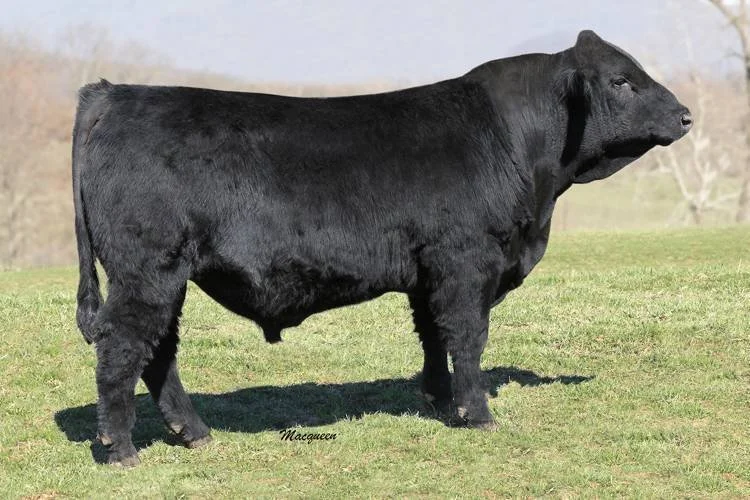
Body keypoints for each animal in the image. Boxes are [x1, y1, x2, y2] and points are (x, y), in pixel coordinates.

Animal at [72, 30, 691, 466]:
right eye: (621, 81)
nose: (686, 115)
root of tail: (116, 93)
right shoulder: (466, 261)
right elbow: (467, 336)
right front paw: (477, 413)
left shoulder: (428, 272)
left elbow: (432, 336)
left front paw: (438, 400)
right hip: (147, 271)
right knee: (123, 347)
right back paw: (121, 449)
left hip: (165, 277)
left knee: (158, 352)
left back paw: (194, 433)